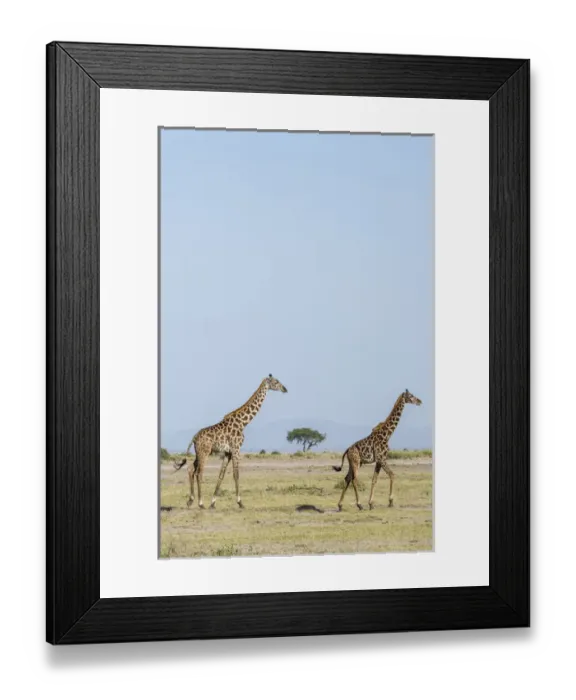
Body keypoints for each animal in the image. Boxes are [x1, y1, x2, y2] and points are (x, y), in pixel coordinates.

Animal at [173, 374, 288, 509]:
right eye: (276, 382)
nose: (285, 389)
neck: (243, 423)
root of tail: (194, 437)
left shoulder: (227, 452)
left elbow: (221, 475)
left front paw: (213, 502)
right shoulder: (236, 449)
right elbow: (236, 474)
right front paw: (240, 502)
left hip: (199, 453)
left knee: (191, 469)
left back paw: (190, 501)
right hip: (204, 453)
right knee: (199, 473)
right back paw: (200, 503)